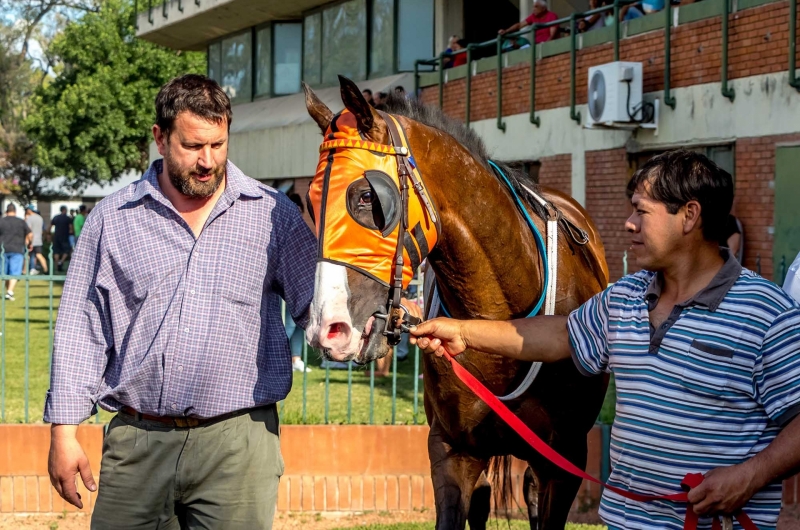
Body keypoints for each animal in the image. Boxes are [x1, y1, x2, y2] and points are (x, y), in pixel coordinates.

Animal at [304, 75, 608, 528]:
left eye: (367, 198)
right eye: (309, 201)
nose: (327, 329)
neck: (500, 319)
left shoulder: (565, 460)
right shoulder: (452, 451)